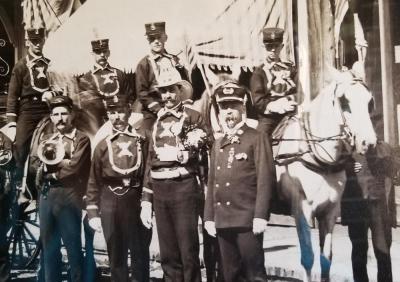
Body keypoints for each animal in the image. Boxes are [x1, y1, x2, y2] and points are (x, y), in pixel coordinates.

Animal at [274, 66, 376, 282]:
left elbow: (326, 258)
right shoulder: (302, 211)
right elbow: (308, 257)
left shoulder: (330, 211)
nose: (368, 143)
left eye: (370, 100)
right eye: (344, 101)